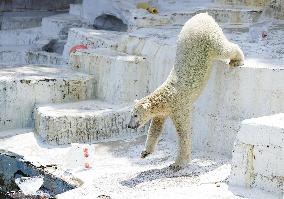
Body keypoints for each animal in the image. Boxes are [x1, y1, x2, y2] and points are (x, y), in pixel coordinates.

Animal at [127, 12, 243, 169]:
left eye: (135, 115)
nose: (129, 126)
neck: (165, 97)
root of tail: (203, 15)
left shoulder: (178, 106)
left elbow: (183, 132)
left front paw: (178, 163)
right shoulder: (163, 112)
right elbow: (155, 128)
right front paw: (145, 152)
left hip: (208, 39)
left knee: (223, 48)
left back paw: (237, 60)